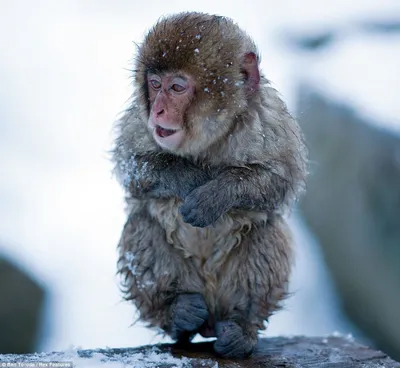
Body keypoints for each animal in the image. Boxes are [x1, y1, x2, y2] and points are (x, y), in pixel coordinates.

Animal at [112, 12, 310, 360]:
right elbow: (130, 162)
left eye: (177, 87)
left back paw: (241, 327)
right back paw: (177, 313)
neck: (208, 139)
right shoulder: (140, 121)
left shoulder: (269, 118)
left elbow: (282, 178)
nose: (158, 110)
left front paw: (214, 196)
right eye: (155, 85)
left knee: (267, 230)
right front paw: (190, 178)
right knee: (142, 223)